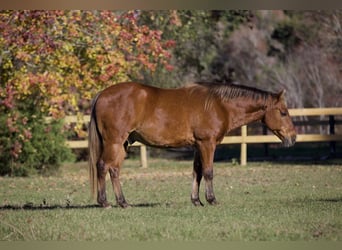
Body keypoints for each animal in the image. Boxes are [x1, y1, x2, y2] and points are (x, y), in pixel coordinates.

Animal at [89, 81, 296, 207]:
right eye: (283, 112)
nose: (293, 137)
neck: (218, 105)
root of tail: (102, 94)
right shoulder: (207, 144)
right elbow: (208, 172)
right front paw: (212, 200)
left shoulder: (198, 146)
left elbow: (197, 172)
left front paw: (196, 200)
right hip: (114, 142)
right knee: (103, 166)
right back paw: (104, 202)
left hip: (122, 144)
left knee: (114, 170)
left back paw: (123, 202)